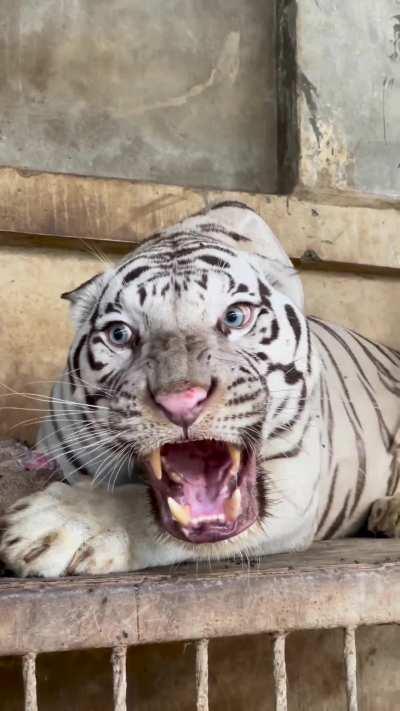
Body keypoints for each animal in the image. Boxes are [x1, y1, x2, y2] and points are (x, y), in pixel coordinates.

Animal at [0, 202, 400, 580]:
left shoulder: (297, 476)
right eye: (119, 334)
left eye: (236, 317)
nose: (180, 403)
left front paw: (55, 526)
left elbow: (135, 505)